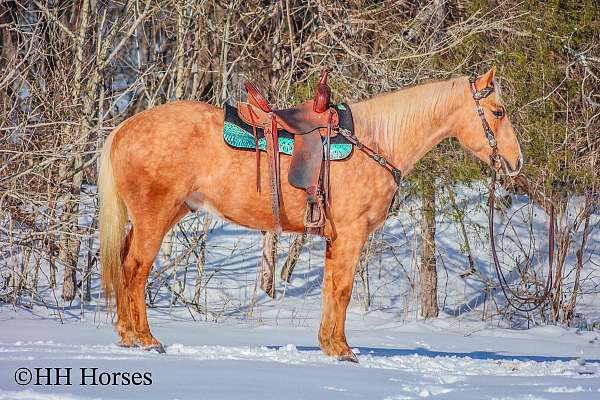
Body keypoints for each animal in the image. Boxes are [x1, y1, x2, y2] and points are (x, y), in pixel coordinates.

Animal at [98, 67, 520, 360]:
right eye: (498, 111)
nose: (516, 163)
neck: (377, 141)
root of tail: (124, 128)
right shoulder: (352, 234)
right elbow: (343, 290)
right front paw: (343, 351)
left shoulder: (337, 238)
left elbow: (331, 289)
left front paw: (330, 345)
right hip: (155, 217)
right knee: (135, 269)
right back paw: (145, 339)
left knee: (124, 264)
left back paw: (126, 334)